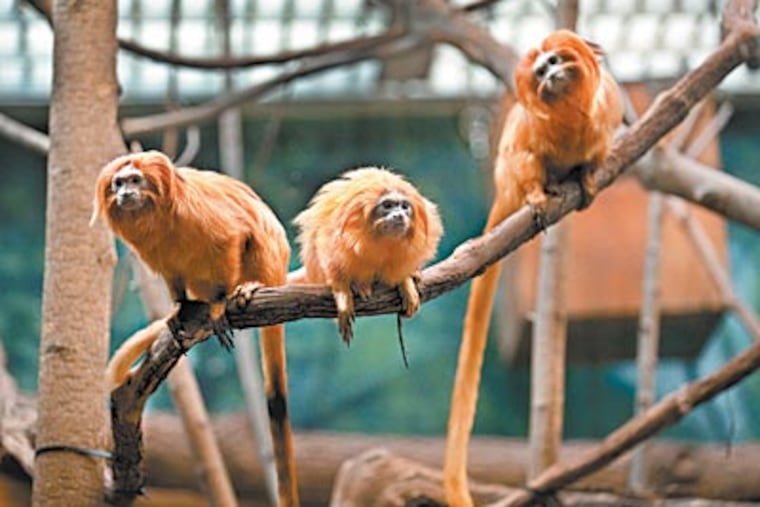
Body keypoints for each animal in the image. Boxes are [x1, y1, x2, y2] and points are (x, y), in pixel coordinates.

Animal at [92, 150, 300, 506]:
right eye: (118, 184)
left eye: (134, 181)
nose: (125, 194)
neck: (156, 216)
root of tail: (279, 276)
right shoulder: (158, 255)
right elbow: (172, 272)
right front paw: (178, 309)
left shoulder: (202, 216)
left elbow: (233, 237)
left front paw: (218, 304)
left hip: (269, 262)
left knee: (256, 238)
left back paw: (250, 287)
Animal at [291, 167, 443, 344]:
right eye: (388, 205)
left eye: (404, 206)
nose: (399, 214)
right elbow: (328, 251)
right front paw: (342, 295)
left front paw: (405, 282)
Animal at [443, 30, 624, 507]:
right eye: (540, 71)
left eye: (556, 62)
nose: (549, 74)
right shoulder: (527, 139)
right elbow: (526, 155)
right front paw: (539, 198)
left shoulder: (607, 115)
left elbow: (595, 155)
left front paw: (588, 178)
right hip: (507, 174)